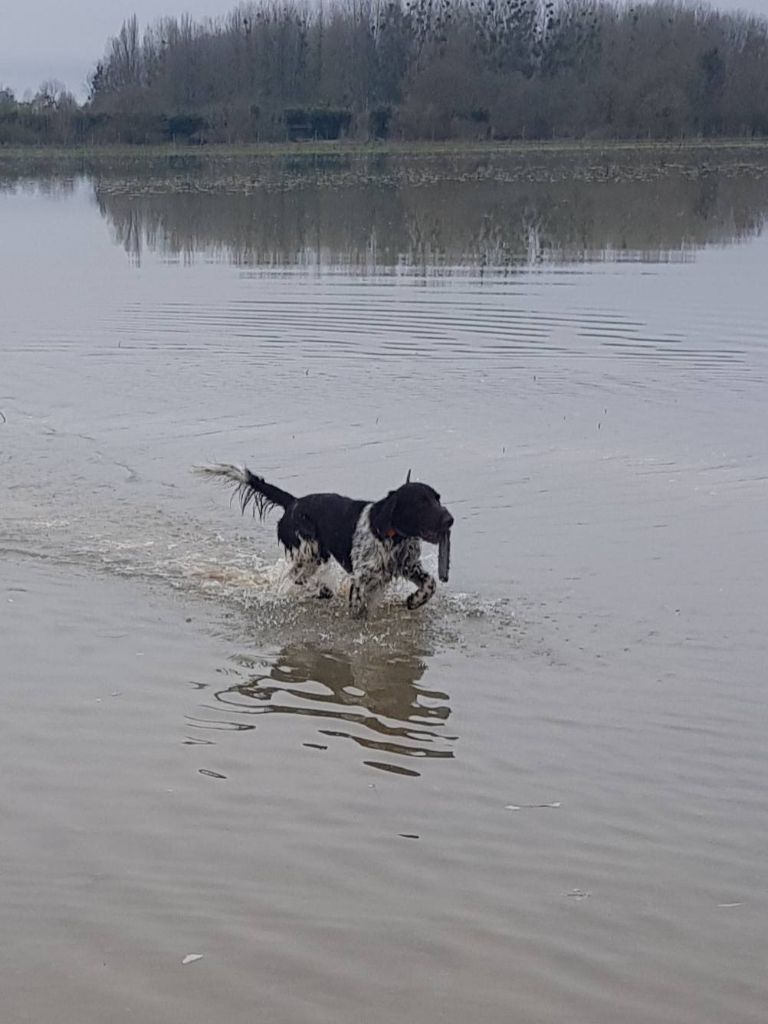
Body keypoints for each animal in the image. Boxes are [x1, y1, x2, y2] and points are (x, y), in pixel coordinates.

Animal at [195, 464, 454, 614]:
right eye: (421, 502)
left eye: (437, 498)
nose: (450, 519)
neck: (394, 537)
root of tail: (293, 502)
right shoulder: (361, 579)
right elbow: (358, 607)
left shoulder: (408, 566)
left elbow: (430, 583)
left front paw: (415, 600)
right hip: (310, 552)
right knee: (298, 578)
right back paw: (322, 590)